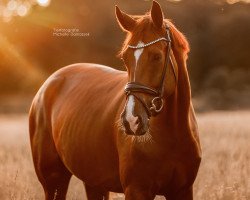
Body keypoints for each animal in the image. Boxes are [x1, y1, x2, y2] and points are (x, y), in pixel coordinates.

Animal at [28, 0, 201, 199]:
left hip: (94, 181)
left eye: (157, 56)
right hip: (53, 180)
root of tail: (47, 85)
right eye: (125, 58)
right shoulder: (136, 190)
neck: (172, 134)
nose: (131, 121)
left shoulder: (183, 190)